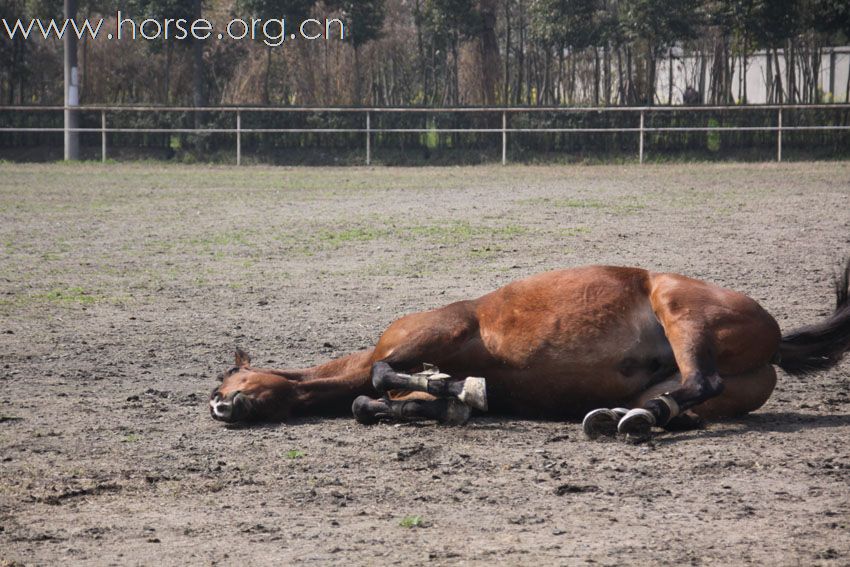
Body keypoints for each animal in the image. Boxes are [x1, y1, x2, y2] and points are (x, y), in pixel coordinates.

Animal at [207, 262, 848, 444]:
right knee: (685, 400)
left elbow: (386, 373)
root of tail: (776, 336)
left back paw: (632, 422)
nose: (218, 408)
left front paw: (451, 387)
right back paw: (633, 418)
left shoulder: (428, 334)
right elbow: (371, 402)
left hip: (677, 306)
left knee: (702, 381)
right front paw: (442, 402)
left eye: (221, 383)